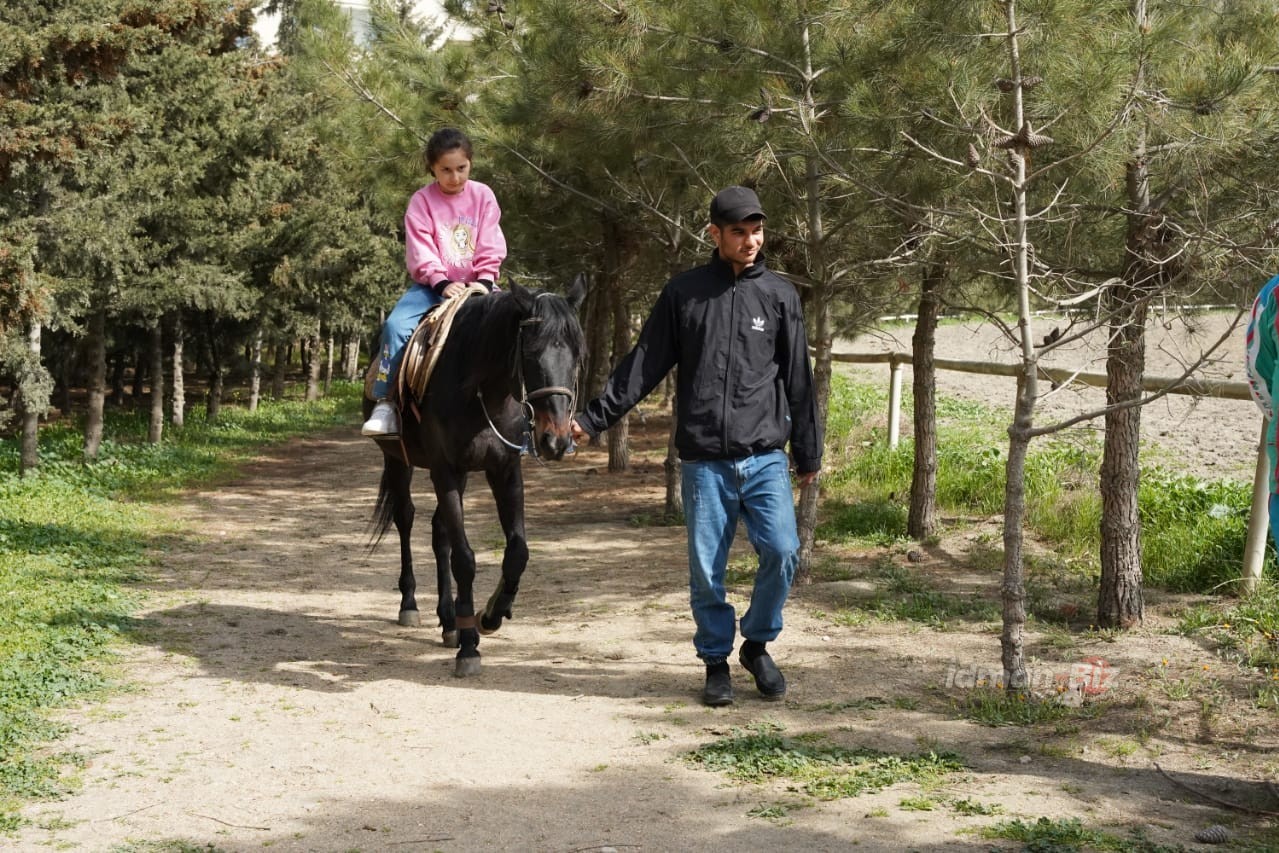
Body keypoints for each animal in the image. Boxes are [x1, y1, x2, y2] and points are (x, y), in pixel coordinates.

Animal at [365, 280, 585, 680]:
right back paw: (411, 605)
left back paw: (450, 620)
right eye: (530, 354)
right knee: (405, 518)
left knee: (439, 533)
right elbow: (465, 559)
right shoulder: (445, 470)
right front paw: (469, 646)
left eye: (577, 354)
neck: (483, 391)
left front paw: (490, 615)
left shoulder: (505, 470)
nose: (556, 440)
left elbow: (517, 552)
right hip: (399, 460)